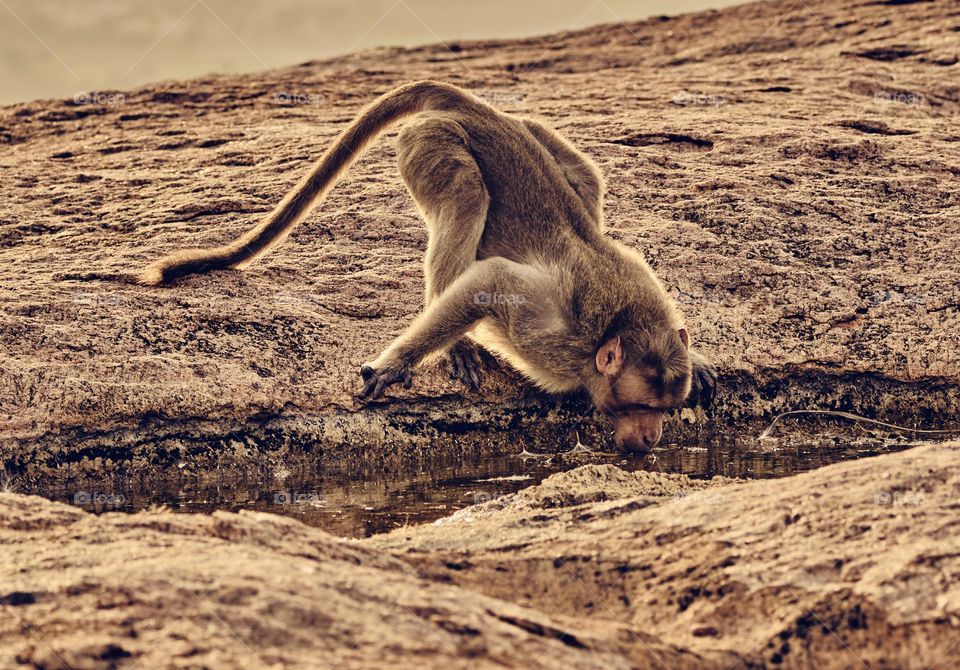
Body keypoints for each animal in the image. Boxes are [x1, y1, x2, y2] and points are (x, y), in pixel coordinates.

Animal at [141, 81, 712, 454]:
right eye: (642, 408)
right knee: (466, 193)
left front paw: (699, 358)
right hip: (433, 140)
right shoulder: (553, 337)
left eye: (664, 410)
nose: (653, 437)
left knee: (584, 178)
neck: (616, 328)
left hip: (527, 132)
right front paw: (395, 364)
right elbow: (491, 283)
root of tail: (475, 107)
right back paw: (455, 339)